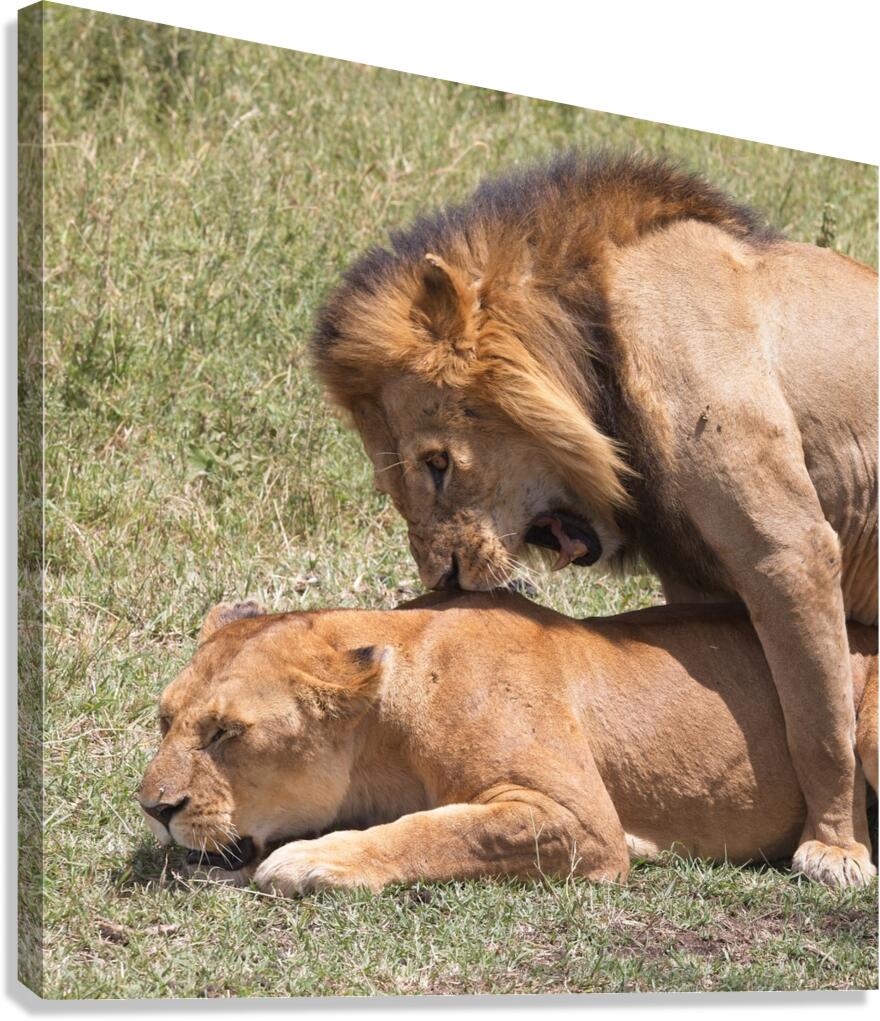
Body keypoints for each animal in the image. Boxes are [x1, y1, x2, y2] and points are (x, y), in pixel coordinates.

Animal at [137, 594, 878, 894]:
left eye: (227, 732)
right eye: (164, 720)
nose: (153, 808)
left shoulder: (581, 819)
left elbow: (440, 831)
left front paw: (310, 861)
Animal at [309, 152, 878, 887]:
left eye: (437, 463)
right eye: (394, 484)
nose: (446, 579)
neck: (598, 334)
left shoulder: (789, 548)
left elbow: (821, 717)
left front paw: (835, 849)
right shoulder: (702, 582)